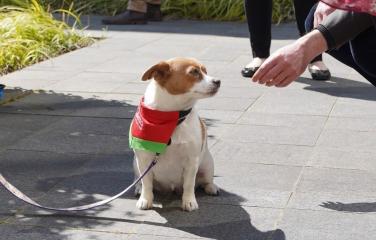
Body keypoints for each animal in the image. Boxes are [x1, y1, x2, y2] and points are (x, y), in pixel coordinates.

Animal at [130, 57, 220, 212]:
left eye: (205, 71)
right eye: (194, 72)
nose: (218, 81)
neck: (173, 117)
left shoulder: (191, 161)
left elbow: (189, 184)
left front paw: (189, 201)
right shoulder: (144, 160)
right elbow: (147, 183)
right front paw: (146, 199)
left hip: (207, 165)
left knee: (205, 181)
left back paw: (211, 187)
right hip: (136, 164)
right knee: (140, 180)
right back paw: (138, 188)